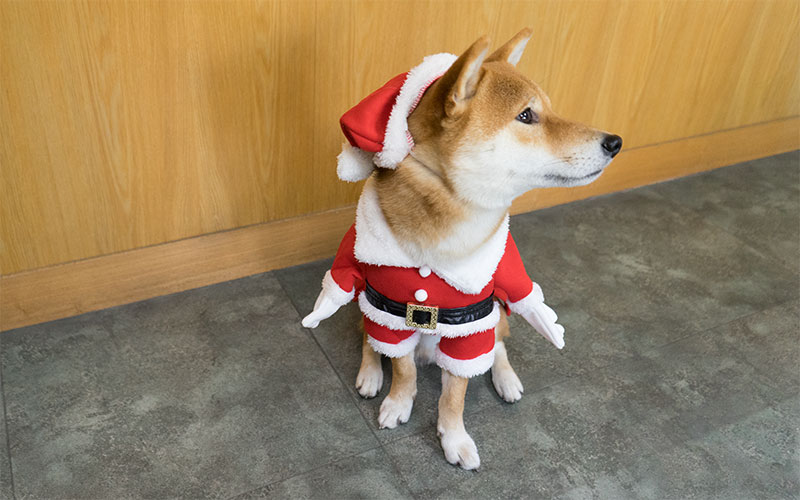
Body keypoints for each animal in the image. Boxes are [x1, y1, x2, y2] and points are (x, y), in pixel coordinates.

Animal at [304, 30, 620, 468]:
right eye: (527, 116)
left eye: (549, 109)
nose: (615, 142)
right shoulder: (391, 312)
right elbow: (403, 370)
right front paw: (398, 402)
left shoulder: (471, 324)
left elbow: (455, 395)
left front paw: (453, 438)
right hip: (362, 302)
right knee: (368, 338)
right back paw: (370, 373)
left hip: (496, 313)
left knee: (500, 342)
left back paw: (506, 378)